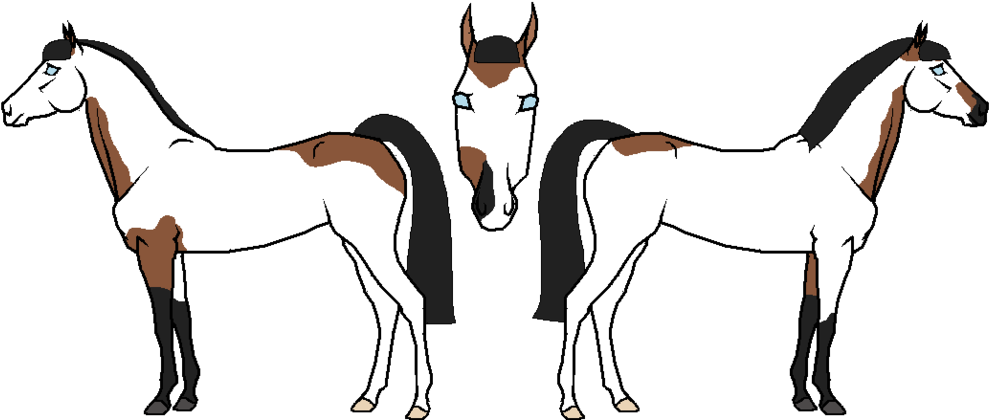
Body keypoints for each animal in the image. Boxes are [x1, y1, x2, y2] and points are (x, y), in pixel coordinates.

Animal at [3, 36, 452, 417]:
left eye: (51, 69)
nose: (8, 110)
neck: (150, 161)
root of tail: (375, 147)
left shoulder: (154, 250)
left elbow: (161, 321)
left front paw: (160, 400)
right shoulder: (174, 254)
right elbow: (181, 316)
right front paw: (186, 397)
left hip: (371, 243)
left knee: (411, 301)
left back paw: (418, 405)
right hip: (355, 245)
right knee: (385, 306)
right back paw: (367, 398)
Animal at [535, 35, 985, 417]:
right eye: (939, 68)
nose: (981, 110)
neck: (840, 165)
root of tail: (617, 142)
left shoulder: (814, 252)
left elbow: (808, 314)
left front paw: (802, 397)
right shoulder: (835, 249)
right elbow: (828, 318)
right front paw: (829, 400)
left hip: (634, 244)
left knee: (604, 306)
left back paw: (622, 398)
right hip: (618, 243)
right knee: (578, 301)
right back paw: (571, 405)